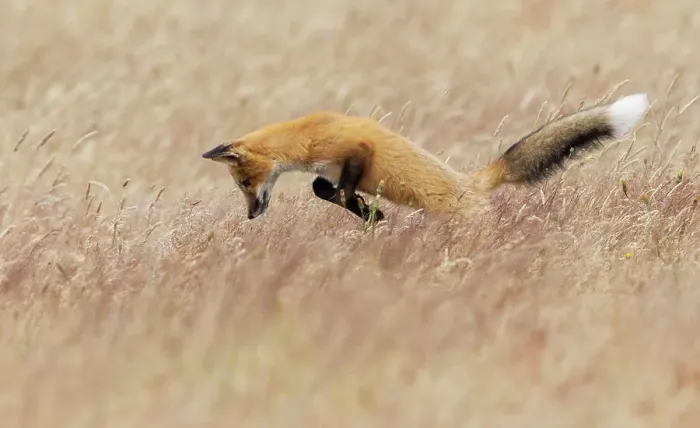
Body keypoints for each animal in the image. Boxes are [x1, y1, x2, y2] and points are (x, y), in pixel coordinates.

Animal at [202, 93, 649, 222]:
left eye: (245, 184)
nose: (251, 216)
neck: (304, 140)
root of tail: (476, 183)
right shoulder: (331, 167)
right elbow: (322, 188)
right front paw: (368, 211)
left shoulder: (354, 149)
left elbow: (334, 190)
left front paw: (368, 212)